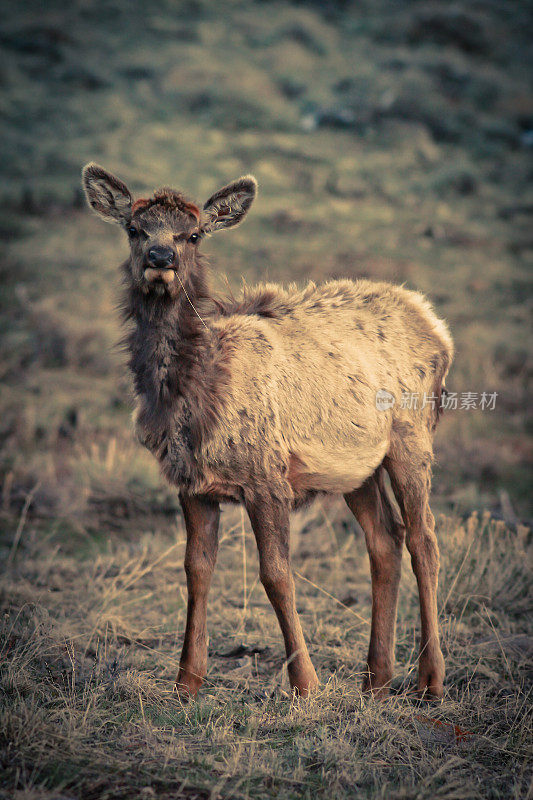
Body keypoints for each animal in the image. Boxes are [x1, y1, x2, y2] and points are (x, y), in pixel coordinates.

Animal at [83, 164, 454, 700]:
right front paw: (186, 681)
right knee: (385, 539)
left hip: (412, 436)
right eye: (134, 229)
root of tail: (436, 325)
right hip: (356, 467)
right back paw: (376, 679)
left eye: (193, 234)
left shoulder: (267, 477)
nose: (160, 258)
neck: (196, 397)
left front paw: (305, 684)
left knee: (424, 540)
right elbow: (196, 570)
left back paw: (430, 678)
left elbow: (276, 575)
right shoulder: (191, 484)